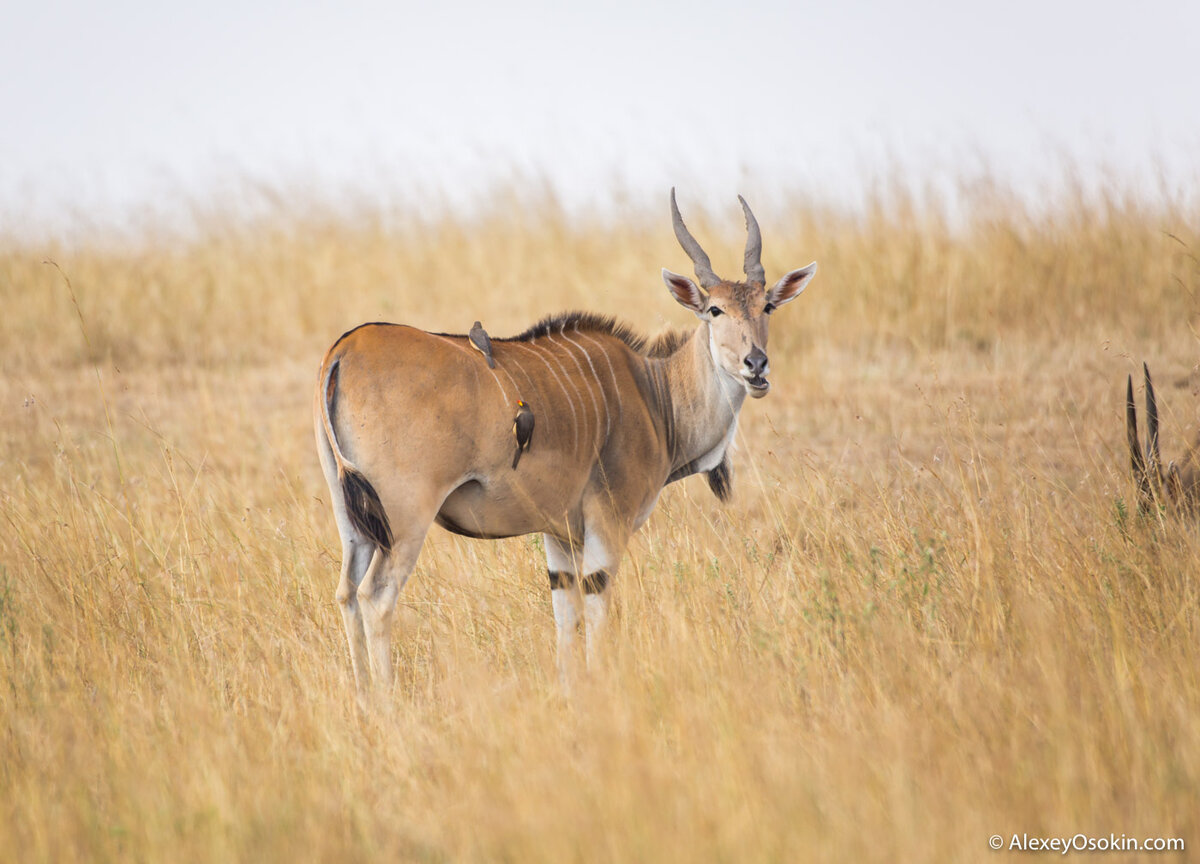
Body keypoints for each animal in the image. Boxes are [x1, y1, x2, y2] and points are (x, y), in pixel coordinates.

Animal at [312, 190, 816, 696]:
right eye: (715, 310)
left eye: (767, 307)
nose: (756, 364)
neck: (655, 393)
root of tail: (344, 350)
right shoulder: (607, 523)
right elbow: (595, 604)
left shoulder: (559, 535)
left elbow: (563, 612)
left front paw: (569, 689)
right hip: (404, 520)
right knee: (375, 597)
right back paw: (387, 702)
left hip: (354, 519)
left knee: (346, 593)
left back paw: (362, 699)